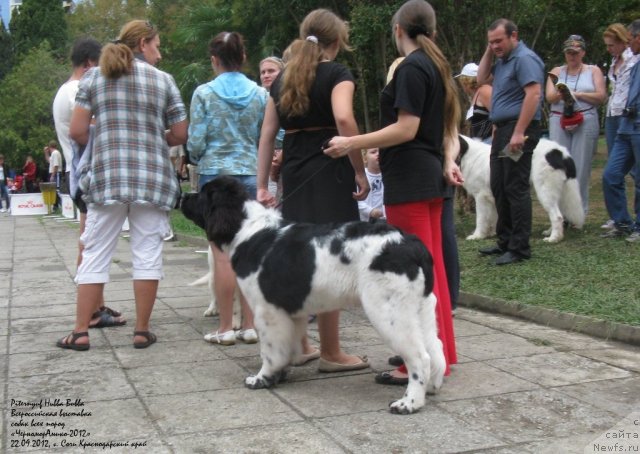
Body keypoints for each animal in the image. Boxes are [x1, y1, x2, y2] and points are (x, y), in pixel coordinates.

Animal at [181, 176, 444, 414]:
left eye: (203, 194)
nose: (183, 196)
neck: (247, 229)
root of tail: (411, 244)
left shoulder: (267, 310)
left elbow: (269, 350)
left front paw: (261, 379)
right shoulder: (290, 311)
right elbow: (285, 347)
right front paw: (280, 374)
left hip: (388, 311)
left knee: (420, 357)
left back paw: (409, 403)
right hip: (420, 308)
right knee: (436, 349)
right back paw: (431, 388)